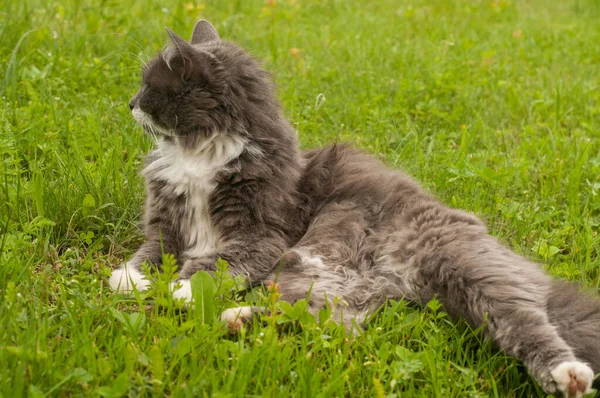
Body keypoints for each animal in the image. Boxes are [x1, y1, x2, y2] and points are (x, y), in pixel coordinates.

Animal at [110, 21, 600, 398]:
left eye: (150, 86)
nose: (129, 103)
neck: (199, 153)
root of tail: (400, 279)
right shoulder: (166, 223)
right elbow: (149, 254)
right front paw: (130, 281)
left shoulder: (260, 236)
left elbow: (213, 264)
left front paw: (180, 289)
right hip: (315, 279)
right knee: (324, 321)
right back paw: (236, 320)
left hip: (462, 268)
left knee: (526, 322)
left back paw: (568, 376)